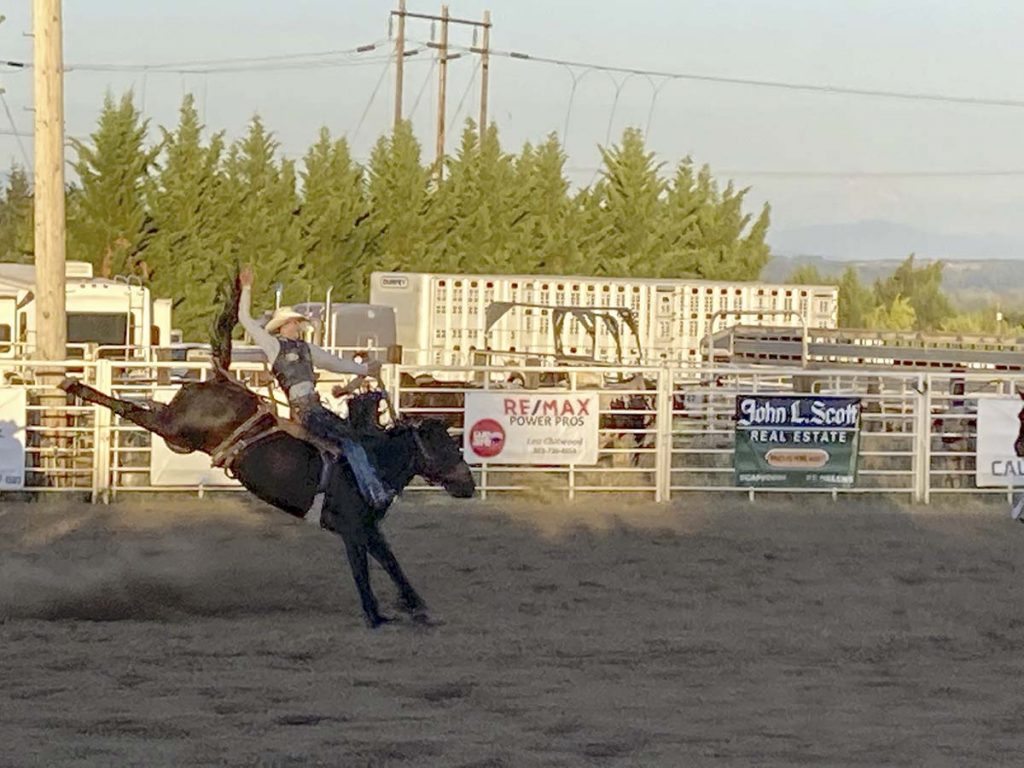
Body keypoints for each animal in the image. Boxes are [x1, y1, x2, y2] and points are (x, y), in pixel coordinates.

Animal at [61, 274, 477, 626]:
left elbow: (392, 564)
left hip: (179, 431)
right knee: (132, 410)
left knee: (145, 409)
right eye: (445, 448)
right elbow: (363, 572)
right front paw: (376, 616)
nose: (469, 485)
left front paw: (417, 607)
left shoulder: (369, 529)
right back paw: (75, 386)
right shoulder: (351, 528)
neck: (374, 463)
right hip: (175, 427)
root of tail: (221, 380)